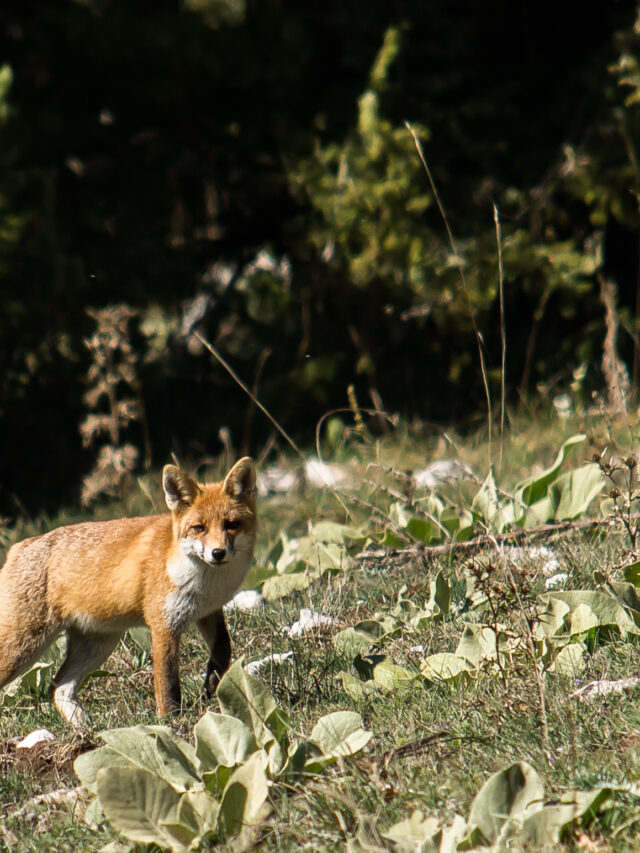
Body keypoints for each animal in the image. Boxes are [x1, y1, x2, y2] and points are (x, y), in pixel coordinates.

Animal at [0, 456, 255, 728]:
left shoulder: (208, 611)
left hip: (98, 644)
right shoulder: (163, 625)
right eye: (199, 528)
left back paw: (85, 730)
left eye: (231, 525)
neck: (205, 581)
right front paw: (170, 723)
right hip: (23, 647)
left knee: (58, 687)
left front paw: (211, 685)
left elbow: (224, 650)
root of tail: (18, 546)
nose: (218, 553)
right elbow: (167, 684)